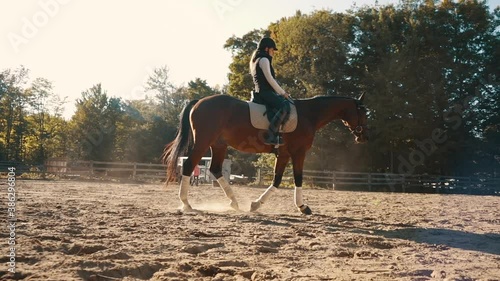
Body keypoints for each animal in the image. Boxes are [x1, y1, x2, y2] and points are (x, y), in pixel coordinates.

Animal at [162, 93, 370, 213]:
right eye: (363, 113)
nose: (364, 137)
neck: (308, 115)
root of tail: (200, 101)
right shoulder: (298, 152)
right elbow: (297, 178)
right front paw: (302, 207)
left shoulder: (284, 154)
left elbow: (277, 180)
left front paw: (256, 204)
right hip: (203, 142)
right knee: (189, 165)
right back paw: (186, 203)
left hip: (219, 145)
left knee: (215, 169)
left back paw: (234, 202)